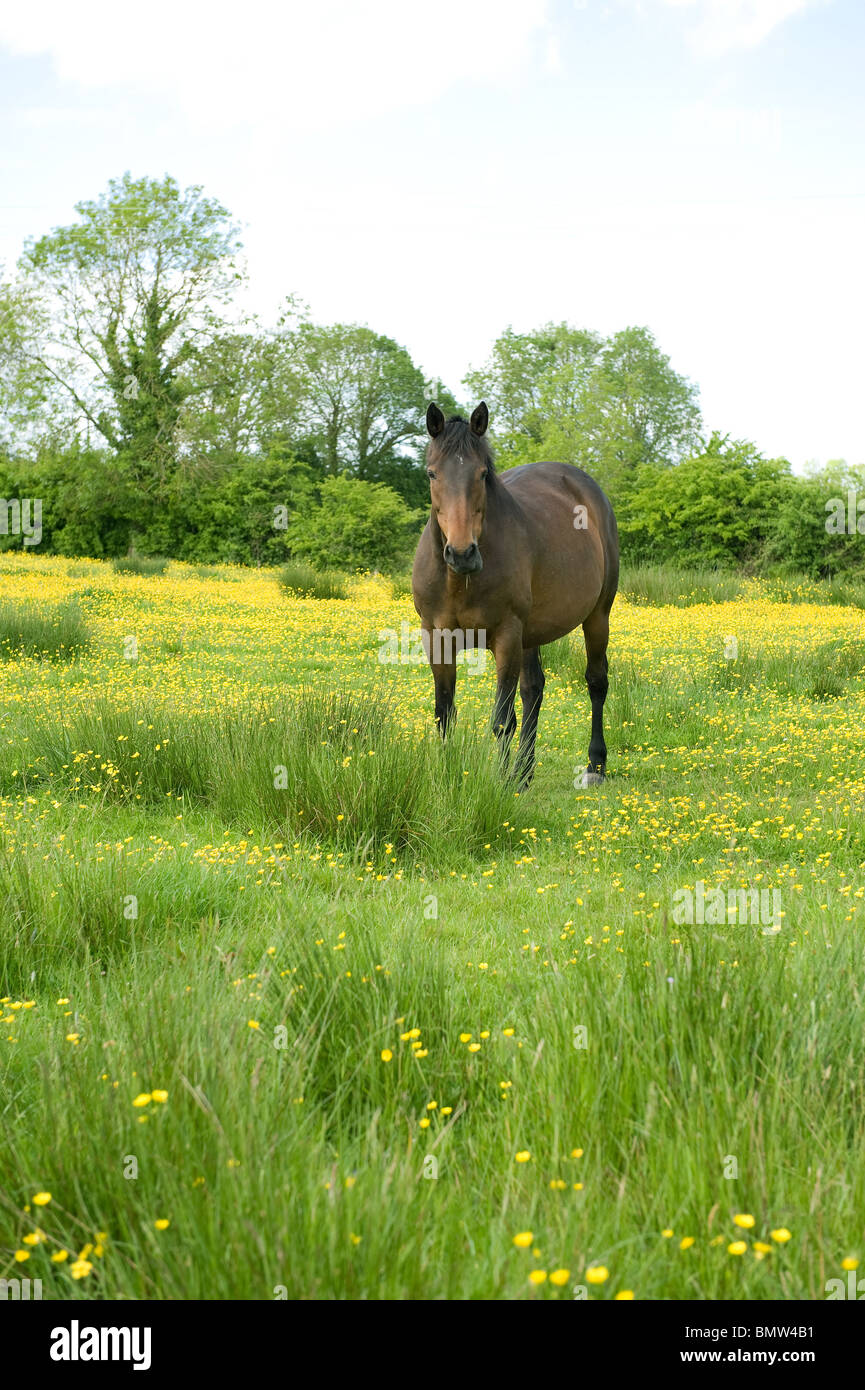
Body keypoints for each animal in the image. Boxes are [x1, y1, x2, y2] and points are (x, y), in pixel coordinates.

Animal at [411, 405, 620, 789]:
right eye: (432, 474)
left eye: (482, 474)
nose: (462, 553)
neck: (459, 581)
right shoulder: (436, 637)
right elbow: (445, 713)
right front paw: (448, 777)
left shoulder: (506, 636)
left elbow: (501, 719)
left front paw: (499, 785)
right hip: (531, 633)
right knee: (534, 690)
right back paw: (524, 771)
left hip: (597, 616)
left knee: (597, 682)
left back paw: (594, 766)